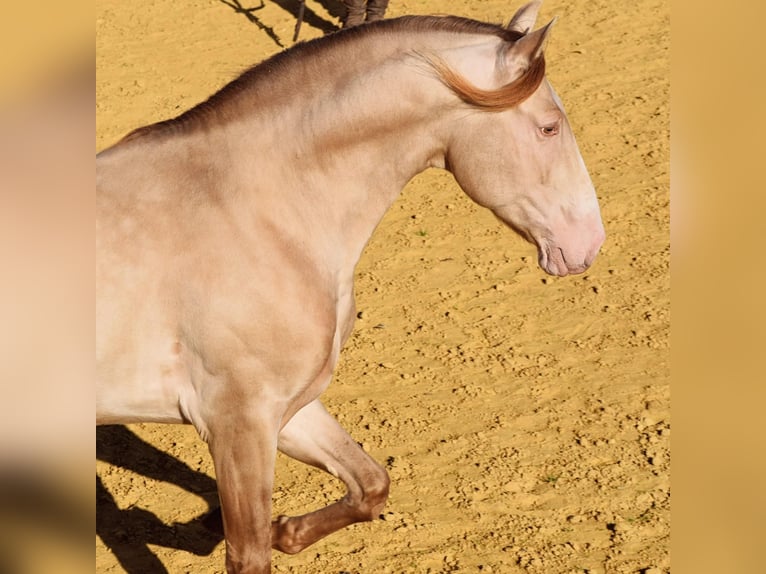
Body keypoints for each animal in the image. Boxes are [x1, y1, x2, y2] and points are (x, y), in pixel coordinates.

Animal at [96, 2, 608, 572]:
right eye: (549, 128)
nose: (589, 243)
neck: (252, 212)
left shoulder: (289, 408)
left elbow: (370, 484)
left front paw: (284, 529)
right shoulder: (238, 423)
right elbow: (250, 555)